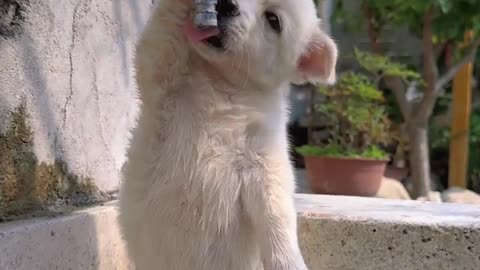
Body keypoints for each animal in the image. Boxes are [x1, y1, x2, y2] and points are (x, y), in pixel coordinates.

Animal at [119, 0, 338, 268]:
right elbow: (162, 33)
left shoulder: (263, 157)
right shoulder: (162, 75)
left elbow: (276, 214)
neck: (223, 87)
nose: (225, 5)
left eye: (273, 20)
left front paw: (287, 260)